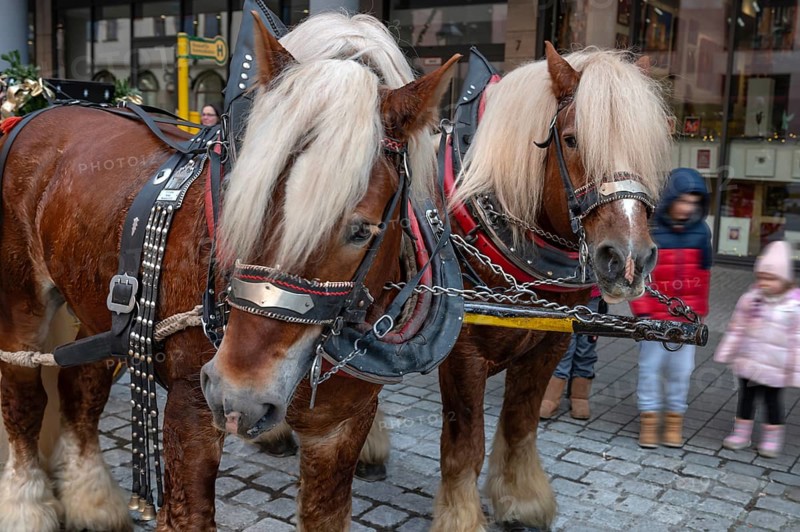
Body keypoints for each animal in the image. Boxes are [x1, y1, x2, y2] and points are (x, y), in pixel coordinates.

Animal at [0, 13, 455, 532]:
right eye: (242, 198)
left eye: (361, 231)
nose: (238, 394)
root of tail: (42, 108)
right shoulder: (191, 408)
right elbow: (189, 513)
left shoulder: (341, 425)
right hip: (21, 301)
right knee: (23, 398)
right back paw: (26, 506)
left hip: (94, 308)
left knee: (81, 387)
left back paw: (92, 502)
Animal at [203, 40, 673, 532]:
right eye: (572, 139)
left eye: (653, 146)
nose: (628, 260)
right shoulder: (465, 353)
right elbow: (465, 441)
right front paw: (462, 515)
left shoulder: (551, 344)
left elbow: (521, 423)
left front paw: (521, 502)